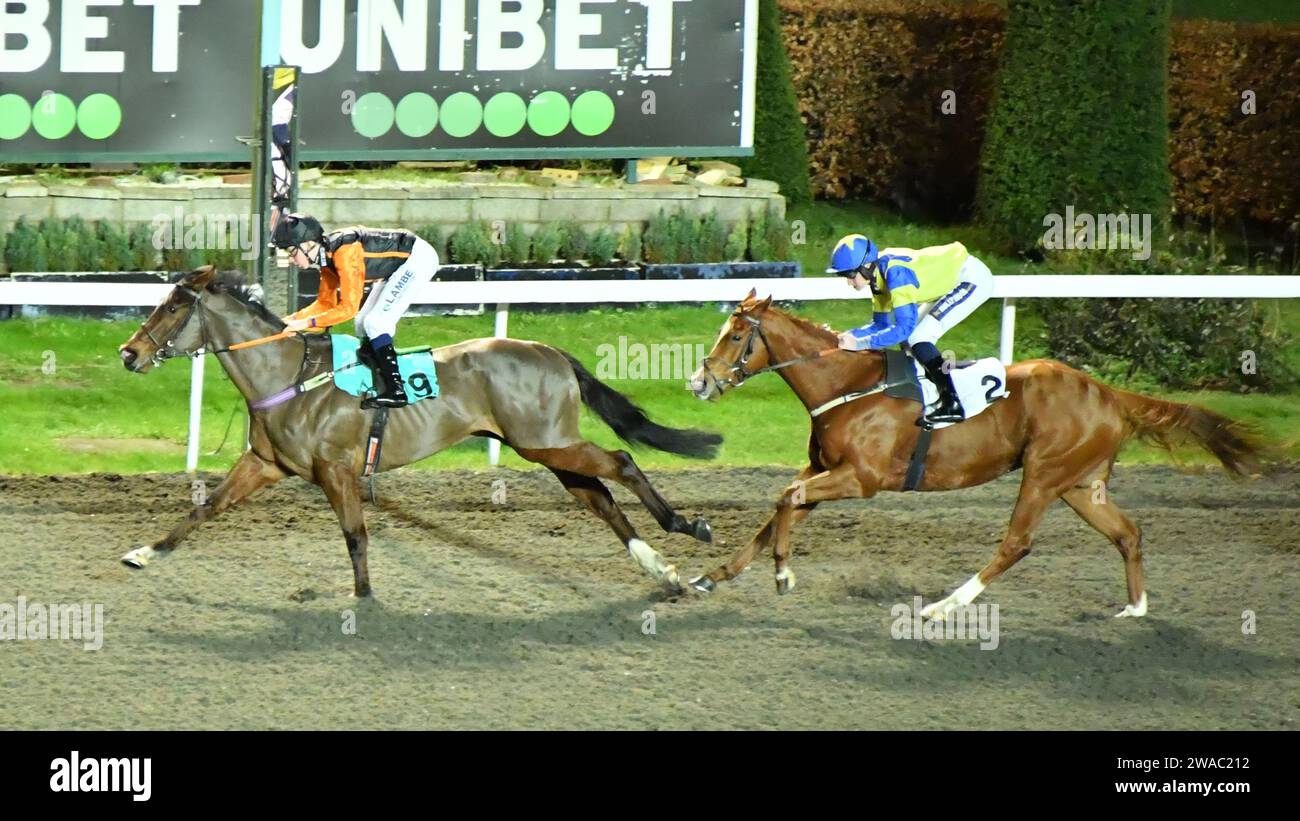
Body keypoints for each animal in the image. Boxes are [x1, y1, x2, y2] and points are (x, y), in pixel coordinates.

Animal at [118, 268, 722, 597]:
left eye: (172, 306)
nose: (128, 353)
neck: (288, 377)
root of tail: (549, 350)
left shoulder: (335, 469)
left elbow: (355, 536)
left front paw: (365, 601)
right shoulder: (265, 463)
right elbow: (206, 508)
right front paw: (145, 552)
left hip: (544, 441)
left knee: (620, 461)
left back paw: (686, 526)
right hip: (546, 446)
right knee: (598, 496)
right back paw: (663, 569)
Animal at [691, 292, 1258, 618]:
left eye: (736, 335)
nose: (698, 382)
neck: (850, 386)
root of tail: (1108, 393)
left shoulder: (862, 478)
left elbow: (786, 499)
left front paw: (783, 576)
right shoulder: (824, 469)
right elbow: (779, 509)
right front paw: (709, 577)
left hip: (1044, 475)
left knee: (1016, 544)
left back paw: (942, 607)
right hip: (1080, 483)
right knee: (1128, 533)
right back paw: (1135, 611)